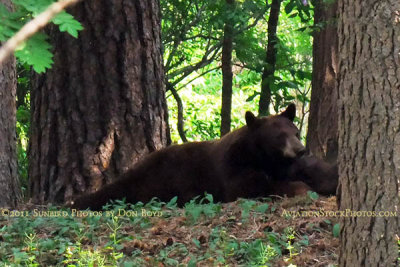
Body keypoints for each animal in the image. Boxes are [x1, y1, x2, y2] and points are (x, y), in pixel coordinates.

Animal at [69, 103, 306, 210]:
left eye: (296, 132)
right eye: (279, 137)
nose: (302, 150)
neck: (259, 156)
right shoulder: (232, 167)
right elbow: (247, 188)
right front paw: (297, 187)